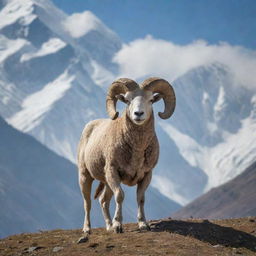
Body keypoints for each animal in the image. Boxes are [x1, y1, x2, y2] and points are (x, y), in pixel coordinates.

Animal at [77, 77, 175, 233]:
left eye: (151, 100)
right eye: (128, 100)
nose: (138, 114)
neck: (137, 150)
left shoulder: (146, 175)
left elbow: (140, 198)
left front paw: (143, 224)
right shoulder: (113, 172)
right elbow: (120, 196)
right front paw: (118, 226)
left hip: (106, 182)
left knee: (103, 201)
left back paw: (109, 227)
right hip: (85, 176)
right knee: (87, 203)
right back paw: (87, 229)